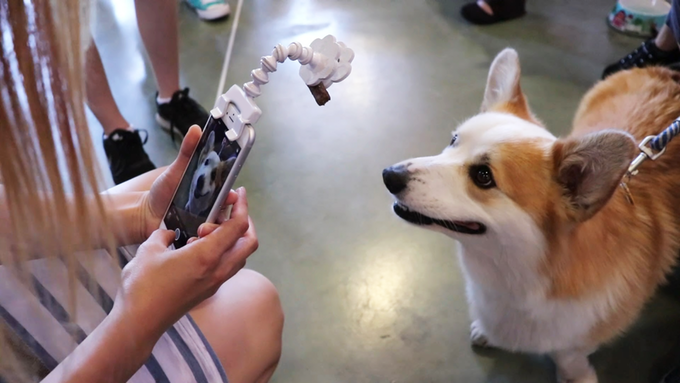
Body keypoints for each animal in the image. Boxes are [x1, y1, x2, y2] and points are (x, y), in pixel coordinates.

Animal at [382, 48, 680, 383]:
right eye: (453, 140)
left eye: (483, 176)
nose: (388, 175)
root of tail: (669, 73)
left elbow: (569, 355)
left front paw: (575, 375)